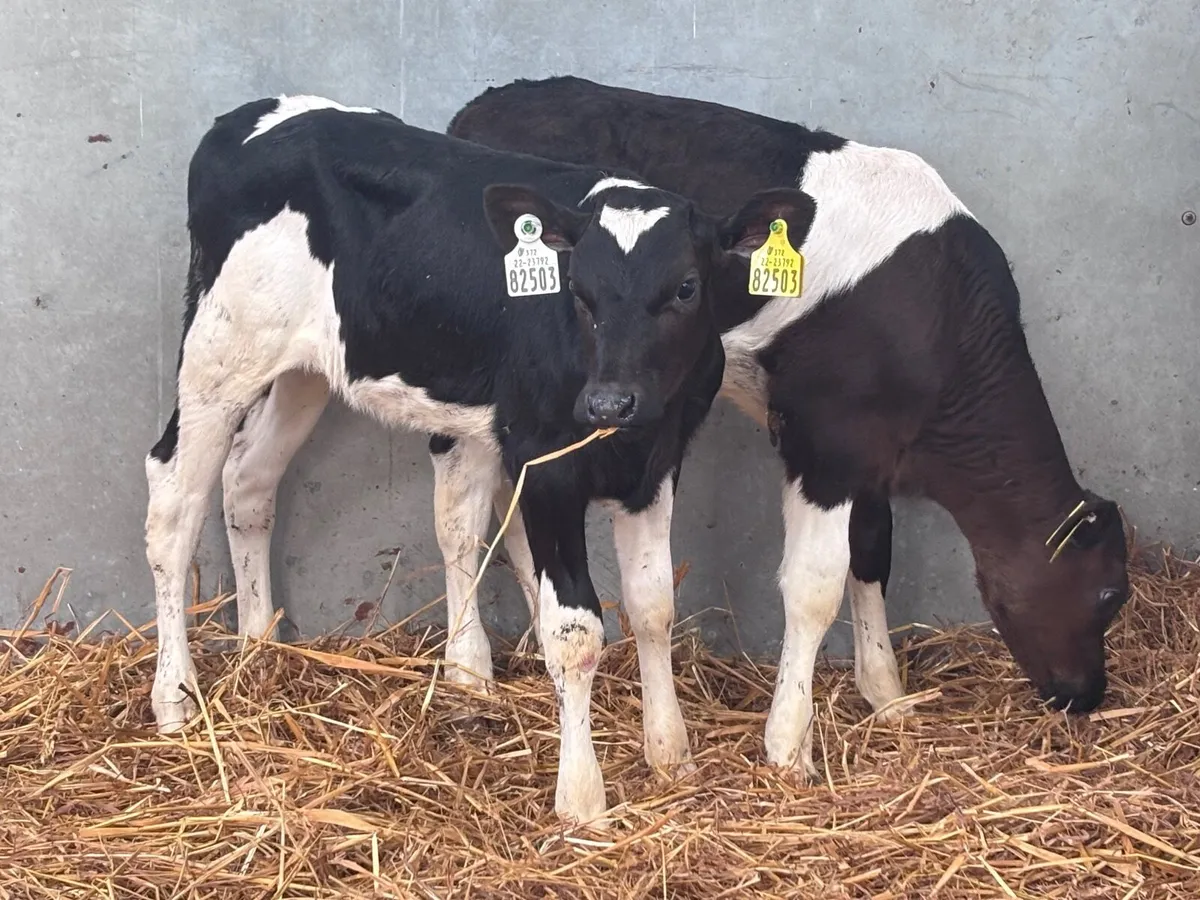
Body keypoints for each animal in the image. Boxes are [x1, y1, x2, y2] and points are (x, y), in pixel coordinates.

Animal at [143, 93, 817, 824]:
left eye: (687, 287)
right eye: (578, 291)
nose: (609, 402)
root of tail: (250, 116)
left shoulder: (657, 462)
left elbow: (653, 606)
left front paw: (669, 753)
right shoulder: (547, 462)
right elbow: (574, 631)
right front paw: (582, 800)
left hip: (304, 370)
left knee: (248, 479)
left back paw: (258, 647)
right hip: (217, 356)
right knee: (172, 502)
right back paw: (175, 696)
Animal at [447, 75, 1130, 780]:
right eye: (1111, 593)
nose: (1087, 694)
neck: (940, 317)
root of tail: (490, 100)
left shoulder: (870, 446)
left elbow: (872, 552)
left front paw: (887, 694)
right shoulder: (826, 440)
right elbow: (813, 584)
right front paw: (788, 746)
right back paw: (472, 675)